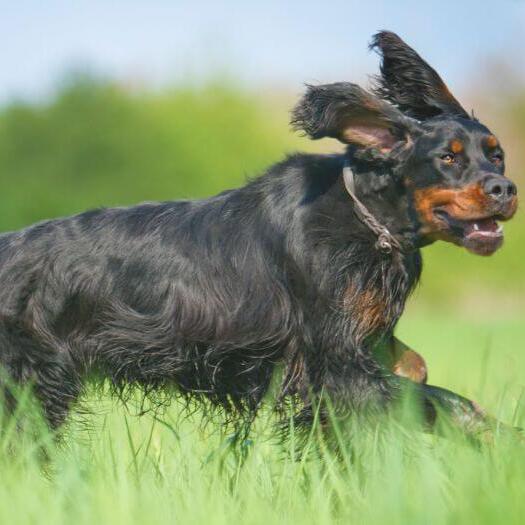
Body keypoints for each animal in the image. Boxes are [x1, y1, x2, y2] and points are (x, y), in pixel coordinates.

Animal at [0, 29, 516, 438]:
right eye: (447, 157)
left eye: (497, 155)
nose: (505, 189)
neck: (365, 218)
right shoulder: (336, 366)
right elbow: (439, 400)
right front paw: (501, 439)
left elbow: (418, 371)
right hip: (34, 388)